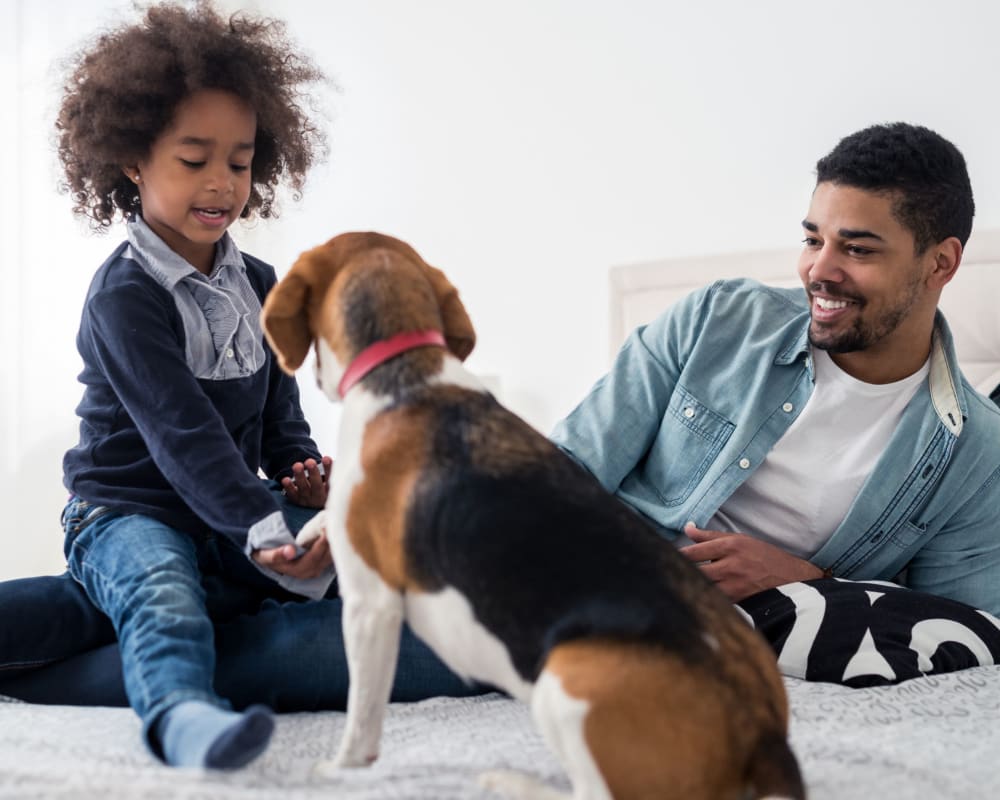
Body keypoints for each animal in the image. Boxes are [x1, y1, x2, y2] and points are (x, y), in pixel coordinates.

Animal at [260, 233, 804, 800]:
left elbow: (362, 714)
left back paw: (511, 780)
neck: (405, 368)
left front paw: (339, 769)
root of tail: (763, 732)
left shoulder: (371, 604)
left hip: (565, 680)